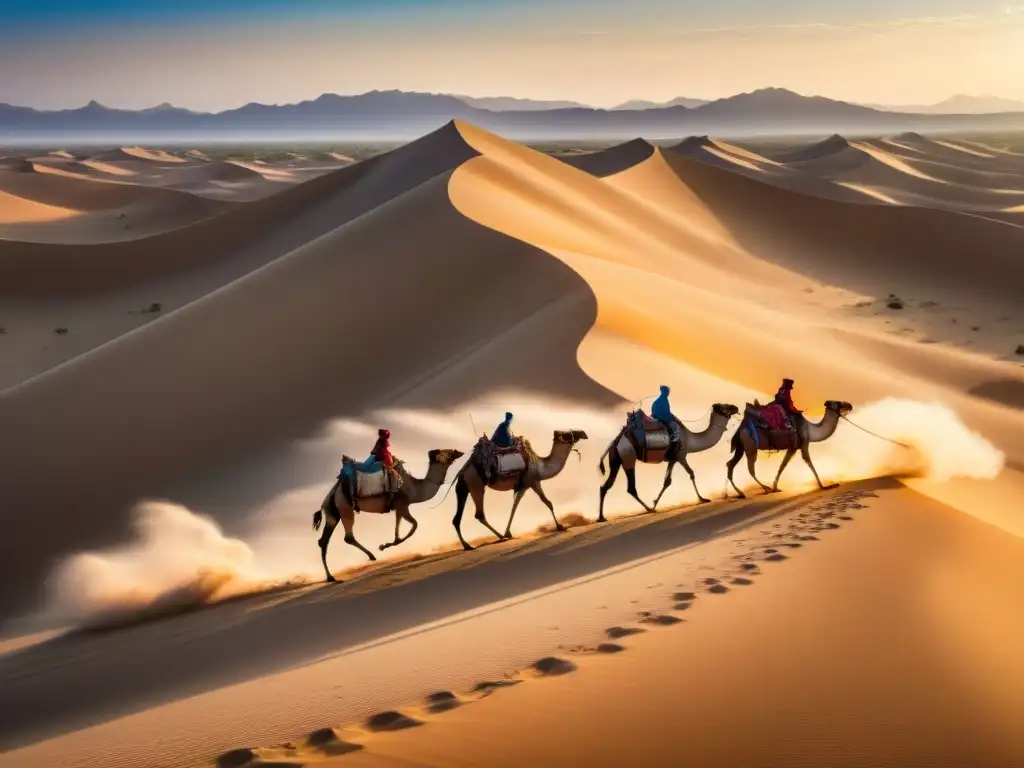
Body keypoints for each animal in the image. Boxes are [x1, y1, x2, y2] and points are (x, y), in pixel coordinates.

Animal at [309, 444, 466, 581]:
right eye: (446, 452)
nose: (459, 451)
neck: (414, 489)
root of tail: (332, 493)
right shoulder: (402, 505)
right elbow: (414, 526)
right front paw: (383, 546)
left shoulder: (399, 507)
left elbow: (399, 528)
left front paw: (387, 544)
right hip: (345, 508)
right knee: (347, 537)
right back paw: (369, 557)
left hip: (334, 513)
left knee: (324, 541)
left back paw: (331, 577)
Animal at [452, 430, 589, 548]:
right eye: (567, 434)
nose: (584, 433)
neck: (541, 466)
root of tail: (463, 471)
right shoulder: (533, 481)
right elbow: (548, 503)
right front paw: (560, 526)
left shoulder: (523, 486)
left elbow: (514, 506)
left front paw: (508, 532)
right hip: (476, 484)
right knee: (479, 514)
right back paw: (499, 537)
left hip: (465, 488)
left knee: (457, 518)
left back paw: (468, 546)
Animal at [598, 403, 741, 524]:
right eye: (724, 406)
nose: (735, 407)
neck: (690, 439)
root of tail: (617, 440)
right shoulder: (680, 456)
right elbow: (689, 474)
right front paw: (703, 499)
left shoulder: (672, 459)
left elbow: (668, 480)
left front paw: (655, 501)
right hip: (628, 456)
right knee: (630, 488)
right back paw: (649, 509)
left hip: (616, 459)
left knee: (606, 486)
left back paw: (601, 517)